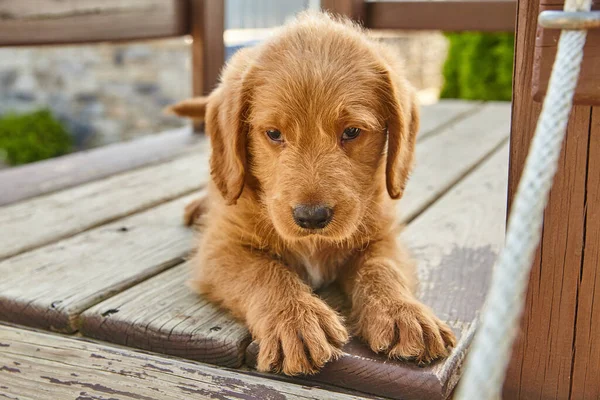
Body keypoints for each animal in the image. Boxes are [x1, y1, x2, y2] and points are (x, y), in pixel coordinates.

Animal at [168, 11, 454, 376]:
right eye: (274, 134)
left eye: (352, 132)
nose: (312, 218)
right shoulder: (220, 248)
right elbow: (264, 271)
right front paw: (296, 320)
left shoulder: (382, 236)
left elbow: (381, 268)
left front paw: (403, 312)